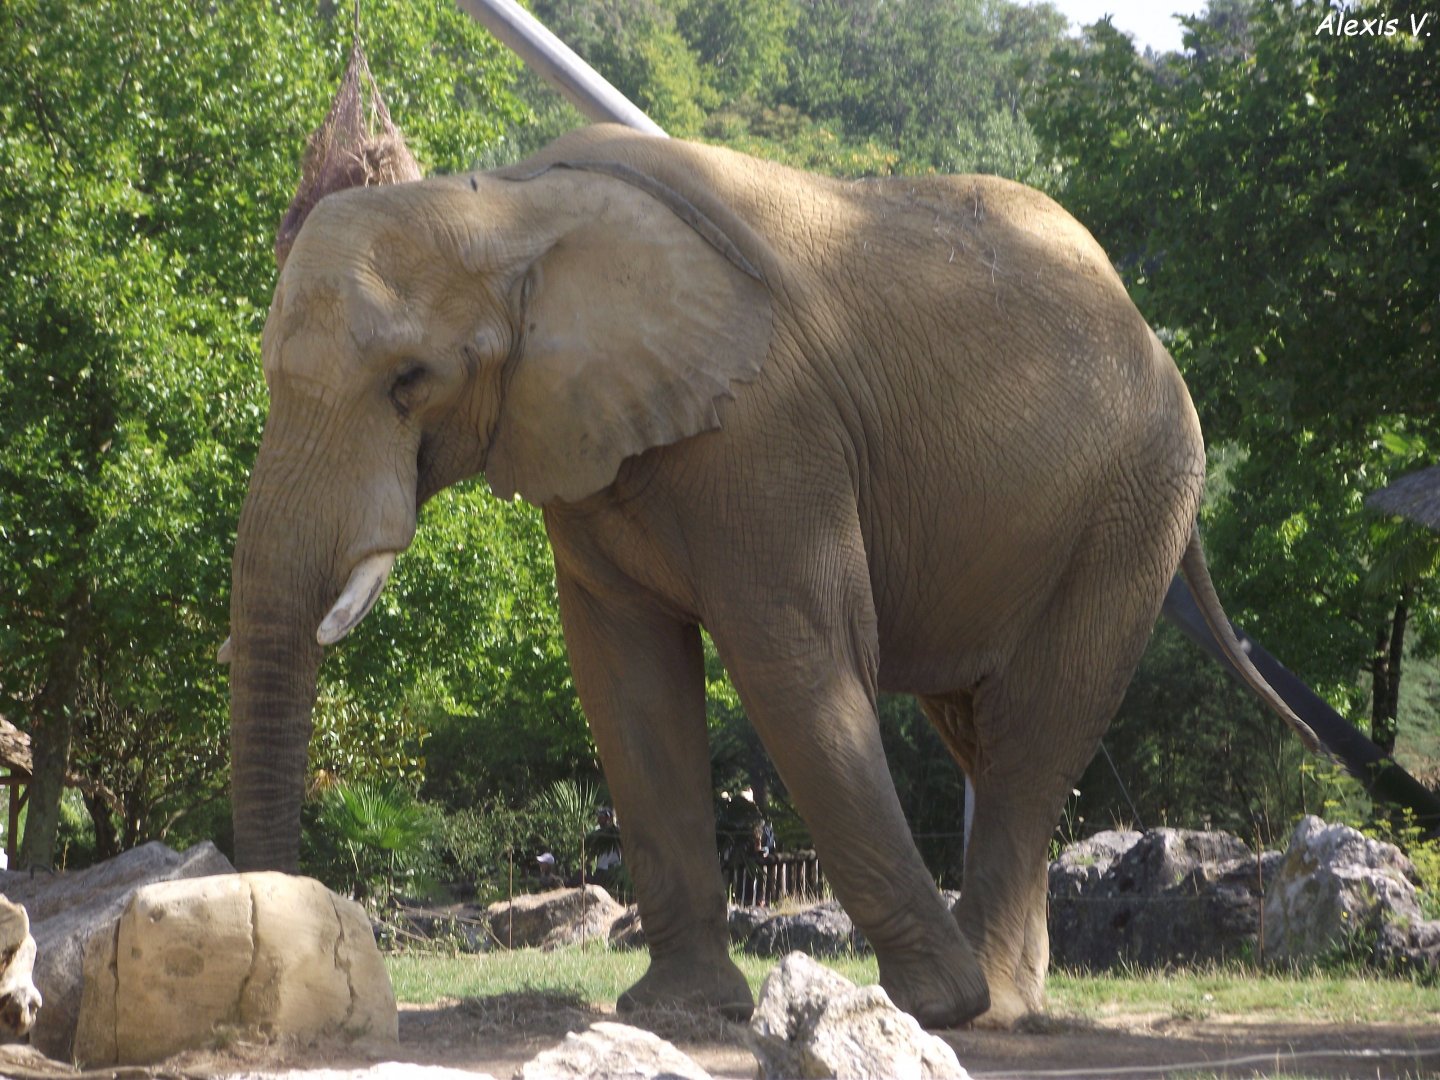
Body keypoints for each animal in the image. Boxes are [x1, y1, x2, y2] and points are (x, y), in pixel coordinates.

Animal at [224, 124, 1317, 1028]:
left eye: (410, 383)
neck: (508, 203)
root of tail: (1144, 327)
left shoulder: (771, 430)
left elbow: (796, 661)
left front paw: (932, 1007)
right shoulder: (584, 443)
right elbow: (624, 682)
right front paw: (674, 1012)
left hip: (1134, 502)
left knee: (1033, 735)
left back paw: (995, 1006)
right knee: (982, 730)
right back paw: (1018, 999)